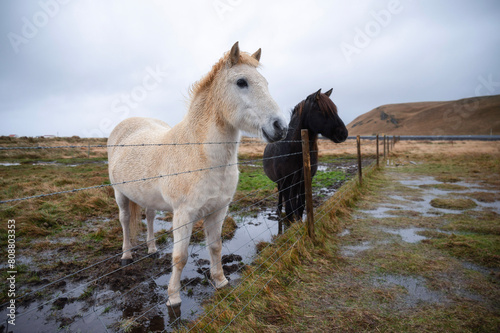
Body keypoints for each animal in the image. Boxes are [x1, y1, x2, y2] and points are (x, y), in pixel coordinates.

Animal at [107, 42, 288, 306]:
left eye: (265, 82)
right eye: (241, 82)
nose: (280, 127)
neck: (201, 156)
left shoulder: (218, 210)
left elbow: (215, 247)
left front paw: (221, 282)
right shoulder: (184, 215)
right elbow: (180, 257)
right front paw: (173, 297)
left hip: (147, 197)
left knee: (149, 217)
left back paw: (152, 249)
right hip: (119, 193)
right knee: (125, 220)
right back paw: (127, 255)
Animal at [264, 88, 350, 223]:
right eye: (320, 109)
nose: (343, 133)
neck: (295, 151)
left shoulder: (303, 180)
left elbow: (300, 207)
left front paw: (299, 223)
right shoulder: (286, 182)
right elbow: (289, 210)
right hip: (282, 183)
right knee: (281, 195)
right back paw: (278, 210)